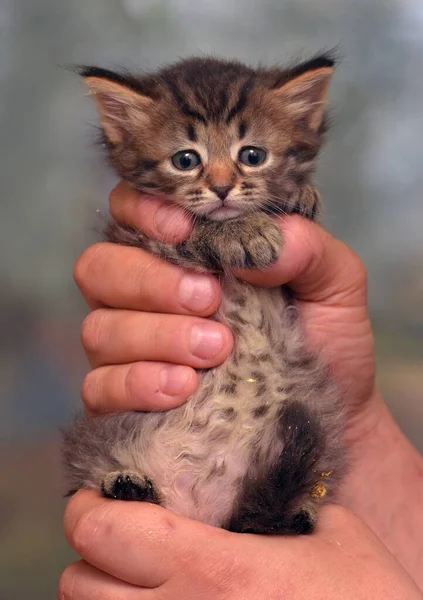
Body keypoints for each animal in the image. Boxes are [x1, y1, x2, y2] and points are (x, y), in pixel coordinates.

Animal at [63, 55, 348, 536]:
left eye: (252, 156)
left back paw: (297, 513)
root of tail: (203, 508)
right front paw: (243, 231)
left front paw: (300, 196)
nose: (220, 188)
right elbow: (195, 230)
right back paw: (126, 483)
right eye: (185, 160)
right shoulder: (142, 237)